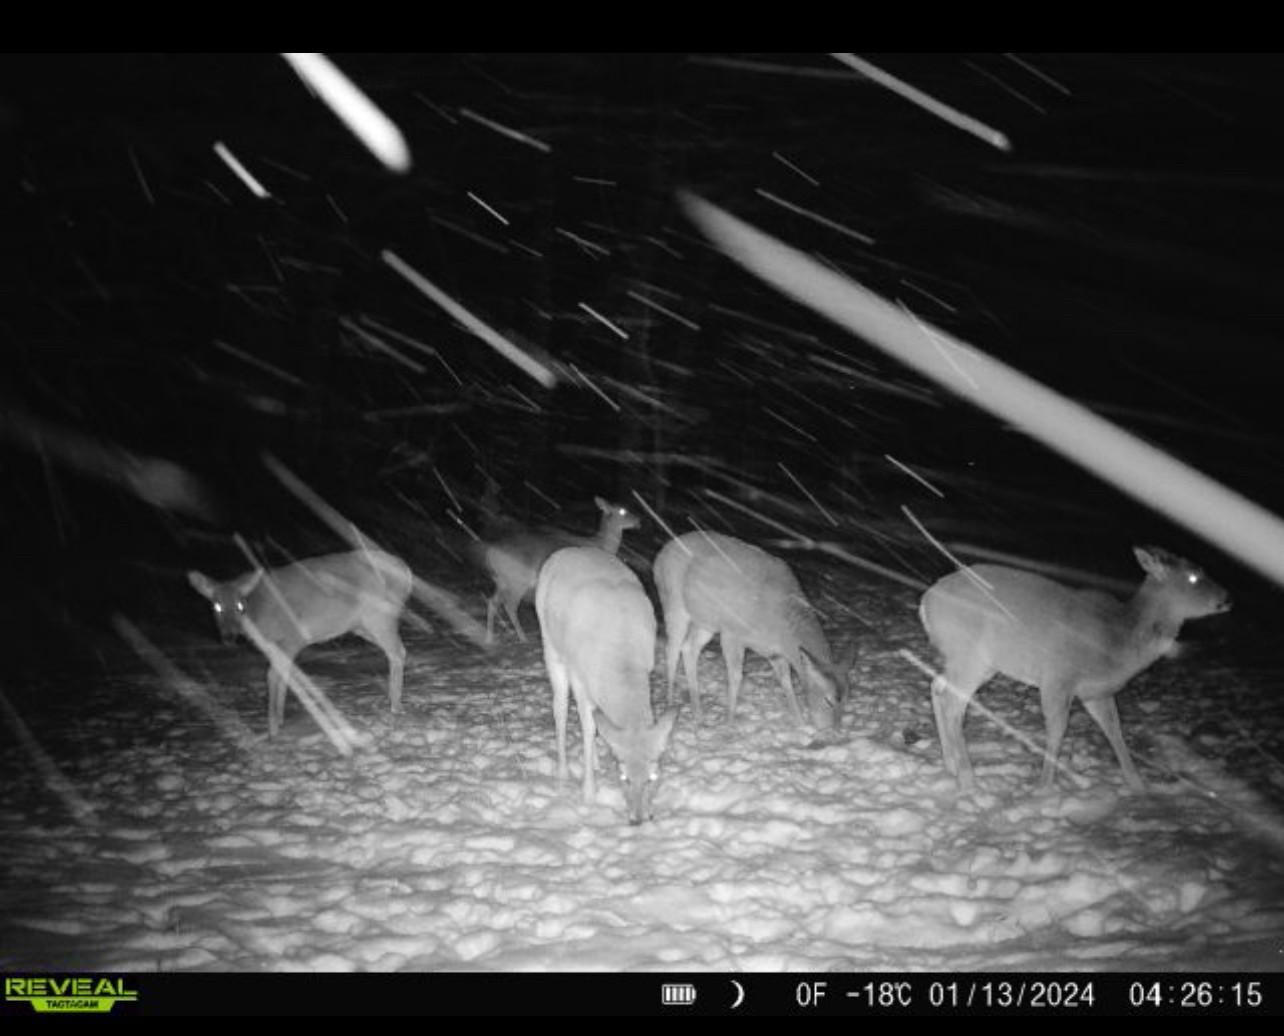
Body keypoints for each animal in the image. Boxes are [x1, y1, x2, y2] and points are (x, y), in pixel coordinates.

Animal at [188, 549, 413, 737]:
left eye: (240, 606)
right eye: (216, 606)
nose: (229, 637)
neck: (259, 614)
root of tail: (405, 570)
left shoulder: (291, 638)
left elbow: (273, 676)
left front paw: (272, 727)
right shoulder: (274, 646)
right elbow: (280, 675)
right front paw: (279, 719)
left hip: (379, 615)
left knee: (398, 651)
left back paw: (396, 706)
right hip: (362, 626)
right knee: (394, 652)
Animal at [535, 546, 678, 824]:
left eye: (653, 778)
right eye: (623, 778)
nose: (638, 819)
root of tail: (562, 552)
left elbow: (597, 726)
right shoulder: (579, 676)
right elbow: (589, 727)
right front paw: (589, 794)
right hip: (551, 645)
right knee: (559, 708)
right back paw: (563, 772)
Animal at [919, 545, 1230, 791]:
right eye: (1193, 576)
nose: (1228, 598)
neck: (1118, 638)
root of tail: (926, 601)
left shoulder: (1096, 691)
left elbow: (1114, 729)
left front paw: (1138, 784)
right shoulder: (1058, 676)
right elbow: (1057, 730)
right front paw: (1044, 787)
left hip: (972, 661)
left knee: (937, 686)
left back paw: (951, 765)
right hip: (970, 654)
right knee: (953, 705)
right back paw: (968, 780)